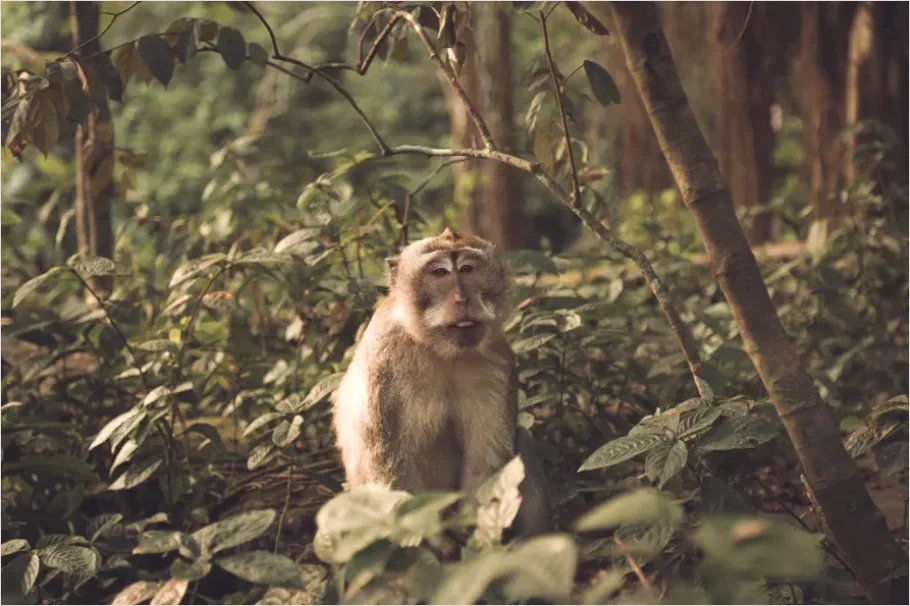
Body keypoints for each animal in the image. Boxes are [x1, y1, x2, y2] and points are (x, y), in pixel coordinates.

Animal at [331, 227, 553, 538]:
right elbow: (389, 461)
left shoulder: (497, 361)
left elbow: (485, 461)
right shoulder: (383, 359)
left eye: (467, 269)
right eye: (439, 272)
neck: (440, 351)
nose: (462, 299)